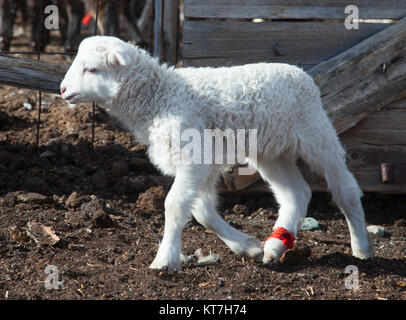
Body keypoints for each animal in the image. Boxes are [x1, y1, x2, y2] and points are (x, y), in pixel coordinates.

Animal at [58, 35, 372, 270]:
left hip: (316, 134)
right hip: (271, 153)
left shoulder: (194, 154)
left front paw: (164, 259)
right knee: (296, 193)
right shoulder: (203, 163)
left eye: (91, 69)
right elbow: (202, 211)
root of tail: (301, 73)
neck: (160, 97)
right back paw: (275, 246)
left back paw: (361, 248)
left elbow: (175, 205)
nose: (61, 89)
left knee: (344, 187)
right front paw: (247, 247)